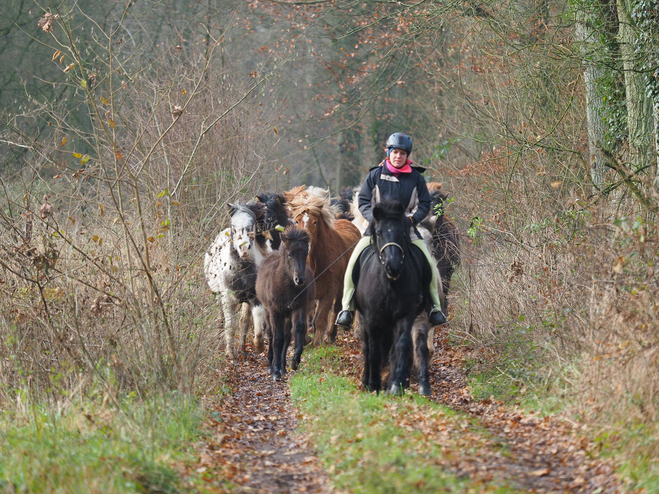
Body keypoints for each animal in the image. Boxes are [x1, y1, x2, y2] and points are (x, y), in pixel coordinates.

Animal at [205, 201, 270, 358]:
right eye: (234, 227)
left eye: (251, 225)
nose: (244, 250)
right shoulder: (228, 300)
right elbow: (230, 326)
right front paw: (230, 354)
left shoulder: (255, 298)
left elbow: (256, 324)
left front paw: (258, 346)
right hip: (219, 297)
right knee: (222, 319)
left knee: (244, 321)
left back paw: (243, 348)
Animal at [255, 226, 314, 380]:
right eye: (290, 254)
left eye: (305, 253)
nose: (300, 279)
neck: (287, 287)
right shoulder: (276, 311)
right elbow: (277, 338)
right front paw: (275, 371)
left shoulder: (298, 308)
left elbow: (297, 330)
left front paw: (294, 362)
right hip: (268, 312)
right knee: (271, 334)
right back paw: (271, 365)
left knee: (287, 336)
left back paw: (282, 367)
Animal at [288, 187, 360, 346]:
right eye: (296, 221)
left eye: (315, 222)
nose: (304, 245)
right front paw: (304, 339)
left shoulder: (329, 291)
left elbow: (321, 318)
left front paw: (318, 341)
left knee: (337, 308)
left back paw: (332, 334)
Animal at [356, 199, 434, 396]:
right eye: (378, 232)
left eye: (402, 232)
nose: (393, 267)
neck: (389, 284)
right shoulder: (372, 318)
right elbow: (374, 350)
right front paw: (373, 385)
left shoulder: (406, 316)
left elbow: (402, 346)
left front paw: (396, 385)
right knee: (367, 346)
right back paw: (366, 380)